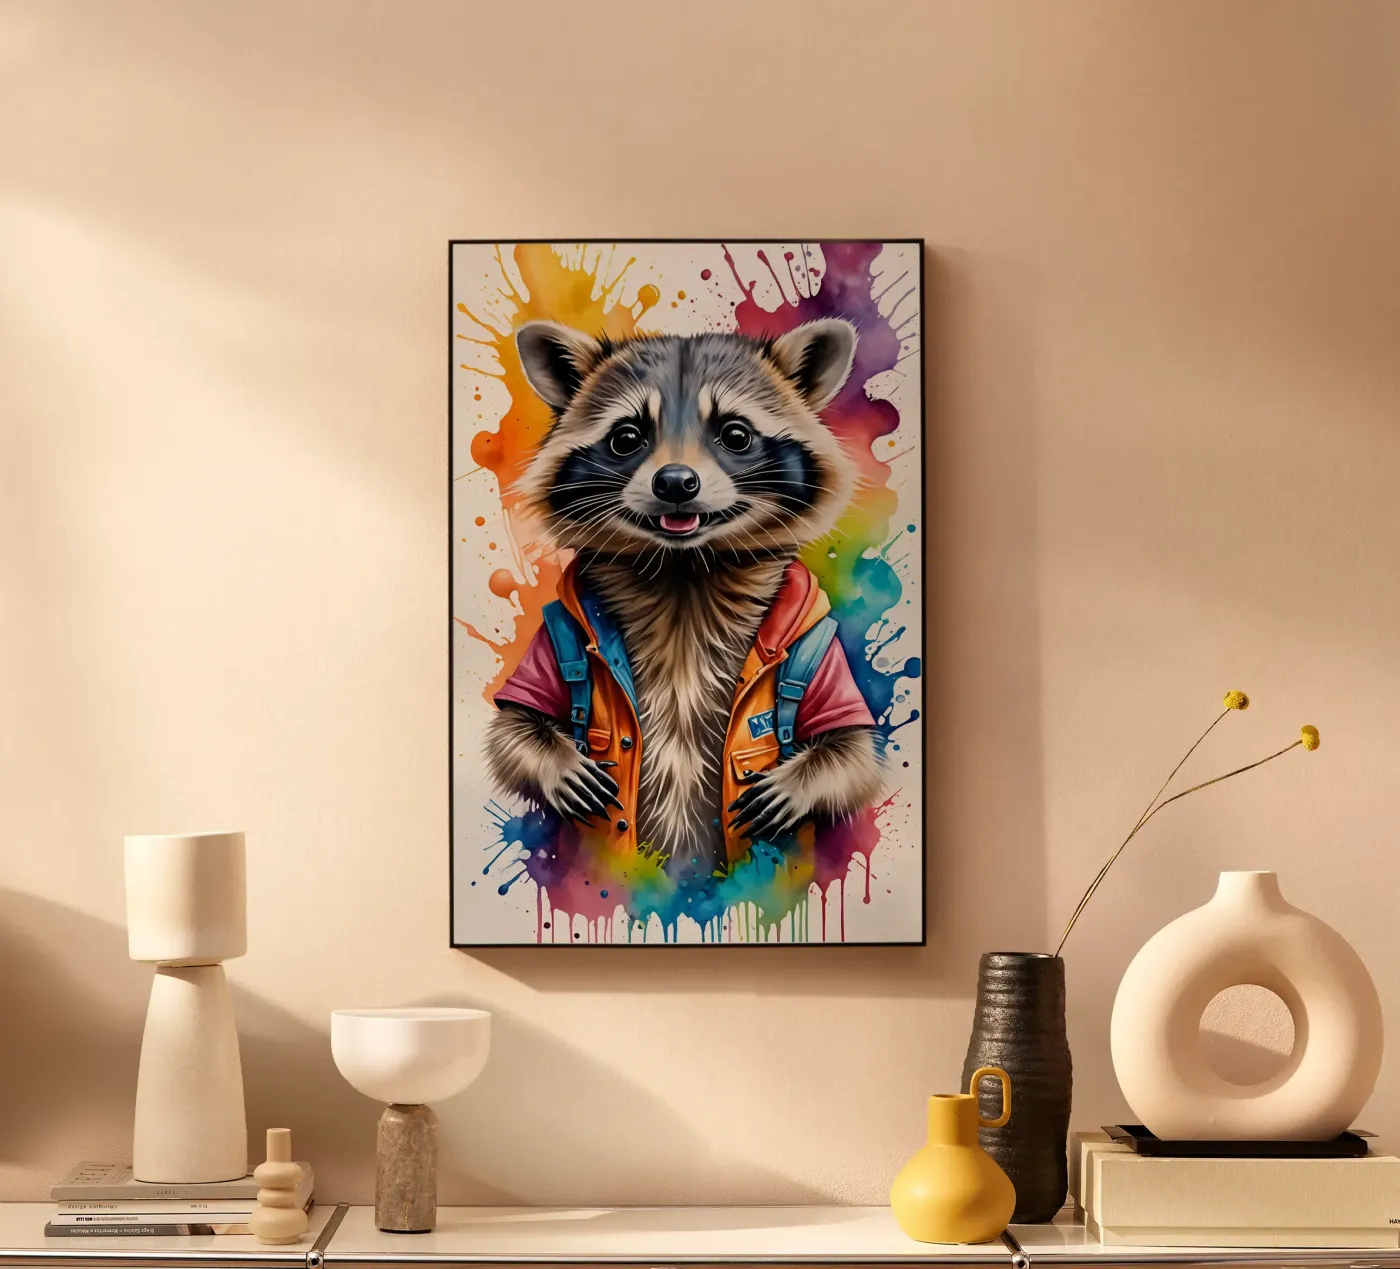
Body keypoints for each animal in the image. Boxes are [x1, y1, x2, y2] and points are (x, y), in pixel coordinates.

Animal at [484, 317, 883, 874]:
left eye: (735, 434)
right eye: (626, 437)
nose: (675, 481)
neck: (684, 568)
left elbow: (854, 751)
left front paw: (798, 782)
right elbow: (512, 729)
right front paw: (558, 761)